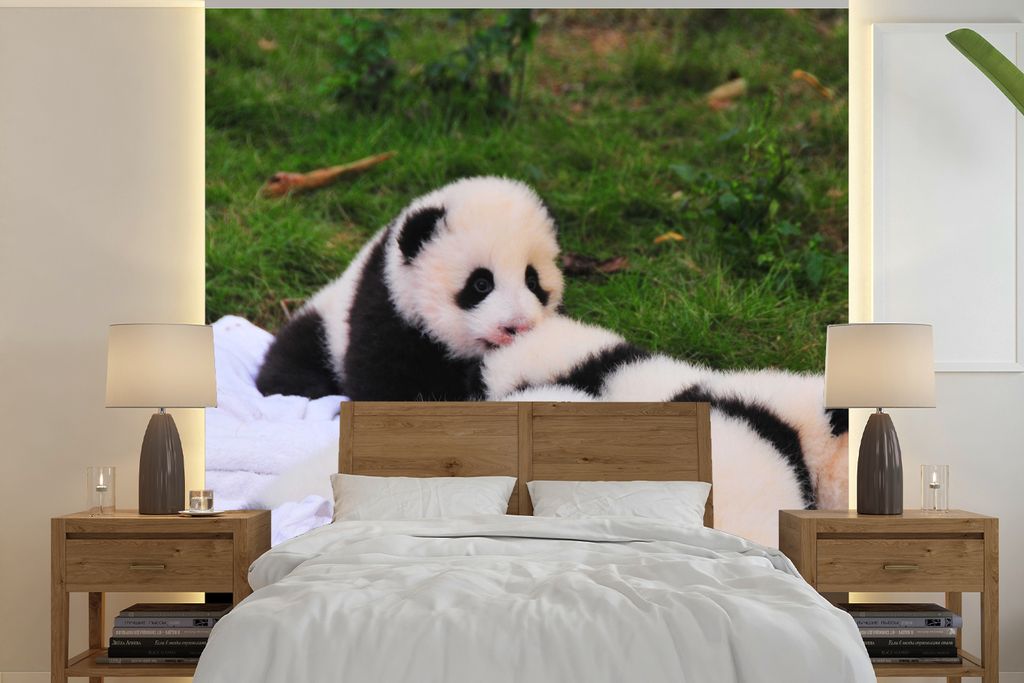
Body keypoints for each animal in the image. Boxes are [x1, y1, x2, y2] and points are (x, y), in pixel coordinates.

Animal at [255, 176, 565, 401]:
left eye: (532, 281)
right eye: (481, 284)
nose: (518, 326)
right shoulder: (386, 311)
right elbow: (385, 384)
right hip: (325, 330)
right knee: (292, 365)